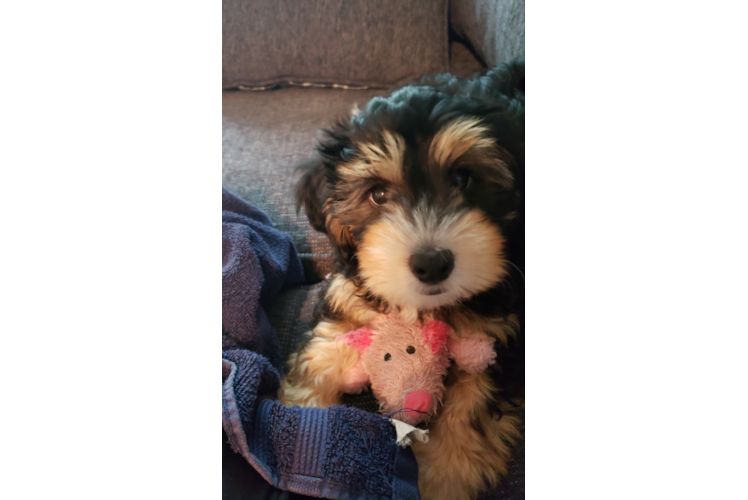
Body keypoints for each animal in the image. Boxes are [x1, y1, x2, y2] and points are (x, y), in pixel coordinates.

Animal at [280, 59, 524, 500]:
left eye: (463, 178)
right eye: (377, 194)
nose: (432, 264)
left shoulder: (504, 334)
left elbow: (470, 408)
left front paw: (438, 479)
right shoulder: (350, 292)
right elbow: (322, 351)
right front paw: (302, 422)